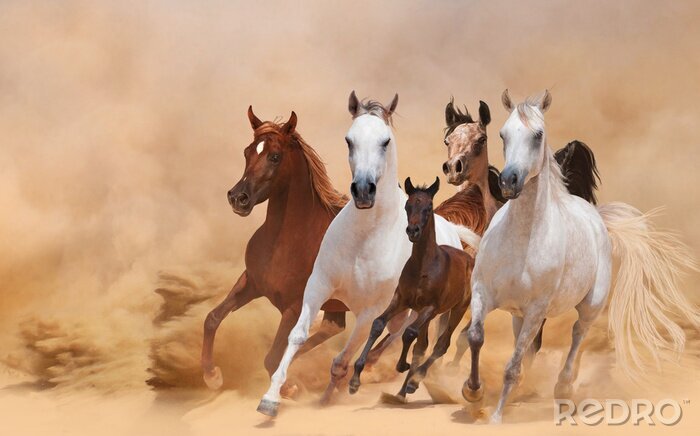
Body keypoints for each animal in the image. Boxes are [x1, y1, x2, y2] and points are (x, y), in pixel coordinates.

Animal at [201, 108, 351, 392]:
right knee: (332, 329)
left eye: (275, 156)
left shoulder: (295, 307)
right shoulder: (251, 282)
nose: (238, 198)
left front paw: (289, 387)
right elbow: (212, 318)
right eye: (247, 151)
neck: (286, 242)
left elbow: (270, 358)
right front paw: (212, 375)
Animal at [349, 177, 473, 401]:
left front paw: (402, 365)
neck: (423, 266)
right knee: (422, 346)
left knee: (441, 344)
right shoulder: (401, 300)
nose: (413, 231)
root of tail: (469, 258)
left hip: (457, 309)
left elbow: (409, 333)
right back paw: (402, 391)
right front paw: (354, 381)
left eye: (429, 207)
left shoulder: (430, 307)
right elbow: (378, 324)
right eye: (407, 206)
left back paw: (414, 381)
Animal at [461, 90, 700, 424]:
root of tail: (596, 216)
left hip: (589, 306)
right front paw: (473, 393)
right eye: (502, 134)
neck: (520, 243)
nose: (508, 181)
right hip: (518, 315)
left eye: (538, 134)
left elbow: (512, 366)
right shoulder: (483, 293)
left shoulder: (536, 310)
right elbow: (475, 337)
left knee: (577, 336)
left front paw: (496, 417)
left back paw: (563, 389)